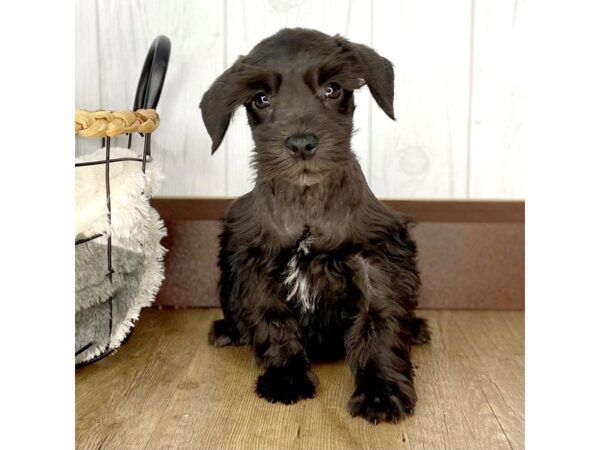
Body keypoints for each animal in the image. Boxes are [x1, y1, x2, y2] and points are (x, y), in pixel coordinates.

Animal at [199, 29, 428, 426]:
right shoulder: (253, 262)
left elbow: (379, 323)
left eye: (332, 89)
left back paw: (415, 329)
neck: (307, 200)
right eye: (260, 98)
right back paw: (227, 330)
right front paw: (286, 376)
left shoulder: (376, 259)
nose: (301, 143)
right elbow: (273, 321)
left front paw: (381, 391)